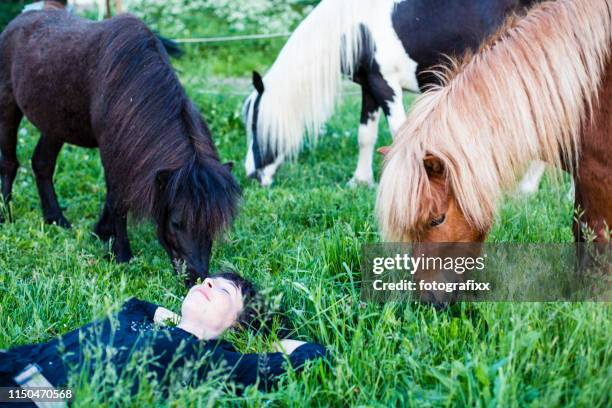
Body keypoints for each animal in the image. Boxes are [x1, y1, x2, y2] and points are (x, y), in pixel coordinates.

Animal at [0, 8, 239, 284]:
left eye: (214, 224)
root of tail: (17, 20)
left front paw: (101, 232)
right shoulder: (111, 149)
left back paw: (55, 219)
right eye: (177, 223)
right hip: (8, 104)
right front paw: (121, 253)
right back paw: (5, 215)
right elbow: (117, 198)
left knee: (42, 164)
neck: (133, 78)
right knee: (9, 163)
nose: (197, 278)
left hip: (54, 124)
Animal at [241, 0, 544, 189]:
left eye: (255, 126)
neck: (357, 29)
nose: (251, 175)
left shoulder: (386, 85)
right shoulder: (369, 86)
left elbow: (401, 135)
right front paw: (360, 181)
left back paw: (527, 189)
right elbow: (365, 135)